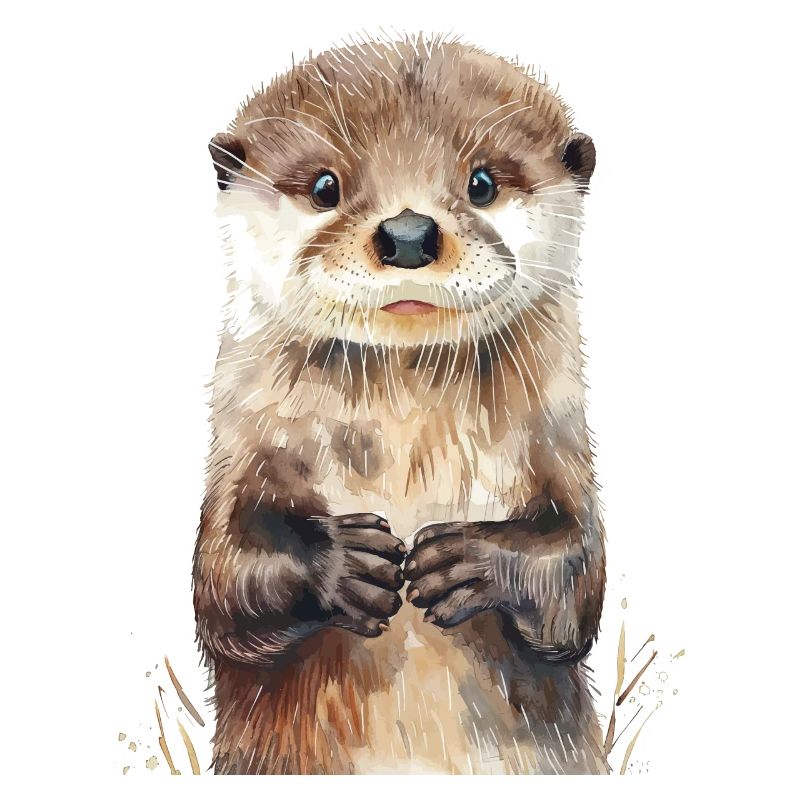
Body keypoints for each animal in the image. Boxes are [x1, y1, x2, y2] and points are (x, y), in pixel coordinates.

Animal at [193, 34, 606, 775]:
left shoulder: (561, 440)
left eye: (482, 183)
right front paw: (345, 563)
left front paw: (469, 559)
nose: (409, 233)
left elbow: (575, 577)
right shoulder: (240, 446)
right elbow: (225, 577)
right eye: (325, 187)